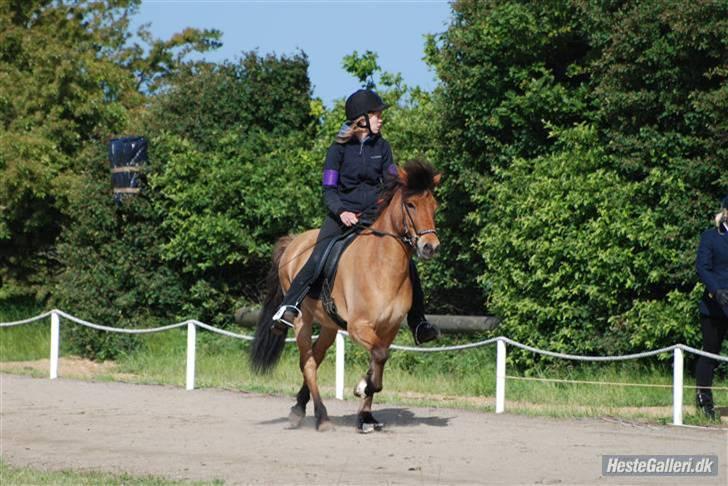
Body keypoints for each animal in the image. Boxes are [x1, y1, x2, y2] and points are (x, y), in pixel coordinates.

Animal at [250, 159, 444, 432]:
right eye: (411, 204)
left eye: (434, 206)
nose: (430, 247)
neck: (382, 265)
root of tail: (294, 241)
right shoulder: (358, 326)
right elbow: (379, 358)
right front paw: (362, 388)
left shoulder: (389, 328)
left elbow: (378, 360)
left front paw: (366, 416)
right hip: (302, 320)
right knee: (308, 363)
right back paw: (321, 417)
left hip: (329, 325)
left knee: (316, 357)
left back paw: (298, 409)